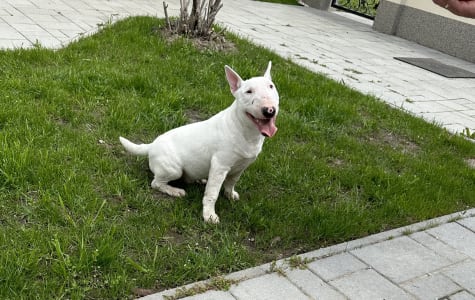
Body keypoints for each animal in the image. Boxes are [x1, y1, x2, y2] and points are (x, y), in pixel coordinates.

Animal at [119, 61, 280, 223]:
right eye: (248, 91)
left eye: (271, 86)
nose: (269, 110)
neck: (246, 131)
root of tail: (151, 145)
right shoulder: (220, 166)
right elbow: (212, 193)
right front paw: (209, 215)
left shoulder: (241, 166)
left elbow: (231, 182)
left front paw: (229, 195)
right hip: (173, 169)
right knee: (156, 183)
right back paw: (175, 191)